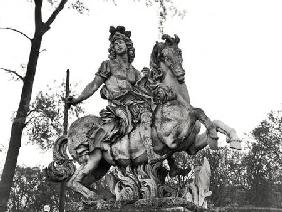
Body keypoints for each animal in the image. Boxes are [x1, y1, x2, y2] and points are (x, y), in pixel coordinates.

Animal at [45, 34, 240, 200]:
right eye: (165, 56)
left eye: (179, 52)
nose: (180, 74)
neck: (173, 99)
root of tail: (69, 132)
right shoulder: (172, 139)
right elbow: (198, 111)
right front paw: (214, 137)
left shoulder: (190, 145)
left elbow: (212, 120)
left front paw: (233, 140)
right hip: (91, 159)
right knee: (72, 182)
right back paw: (95, 197)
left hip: (100, 167)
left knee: (81, 181)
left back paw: (100, 197)